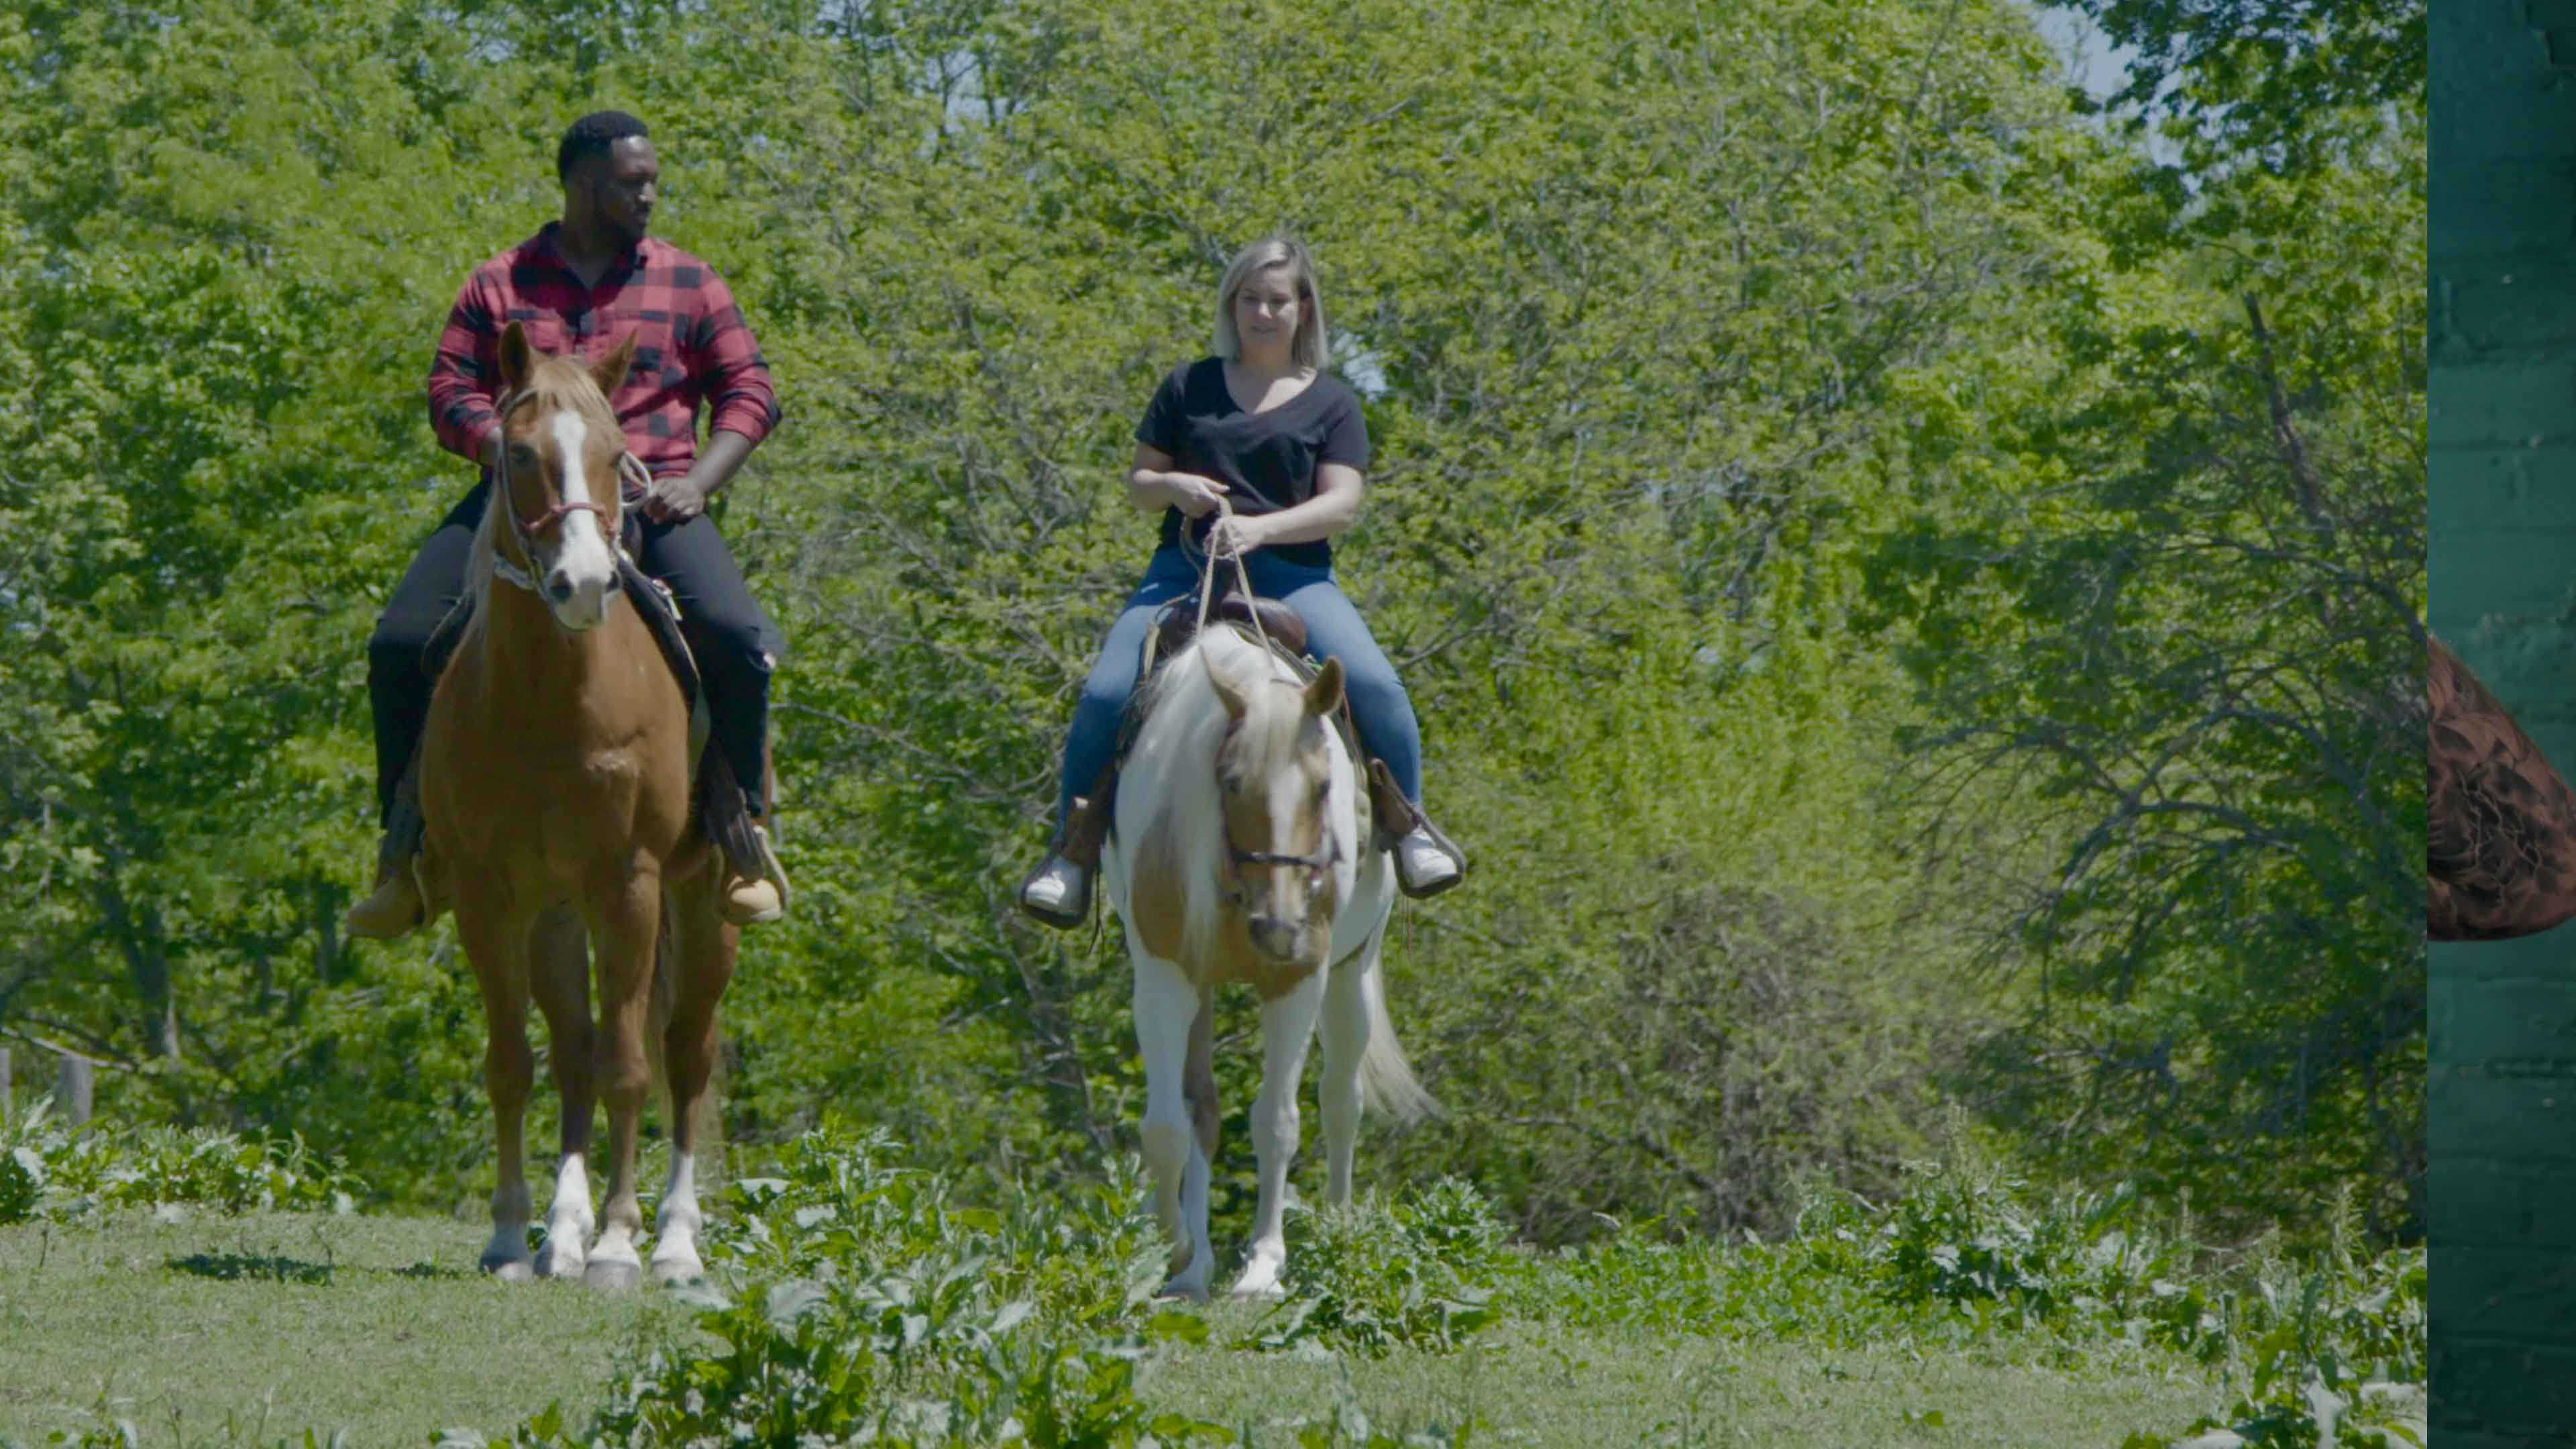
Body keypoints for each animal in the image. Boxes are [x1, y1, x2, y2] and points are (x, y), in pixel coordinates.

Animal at [415, 321, 737, 1279]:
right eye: (518, 453)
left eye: (616, 452)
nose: (586, 583)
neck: (551, 700)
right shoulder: (489, 893)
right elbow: (515, 1064)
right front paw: (511, 1234)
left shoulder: (628, 882)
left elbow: (632, 1064)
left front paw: (622, 1244)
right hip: (556, 909)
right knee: (573, 1051)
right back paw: (562, 1230)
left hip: (702, 901)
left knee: (685, 1052)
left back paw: (674, 1239)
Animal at [1097, 621, 1442, 1299]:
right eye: (1230, 782)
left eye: (1325, 787)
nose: (1280, 927)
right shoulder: (1165, 978)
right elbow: (1168, 1126)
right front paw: (1175, 1251)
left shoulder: (1298, 980)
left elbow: (1277, 1121)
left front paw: (1263, 1264)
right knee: (1201, 1106)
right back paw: (1197, 1266)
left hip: (1350, 975)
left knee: (1340, 1101)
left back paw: (1337, 1231)